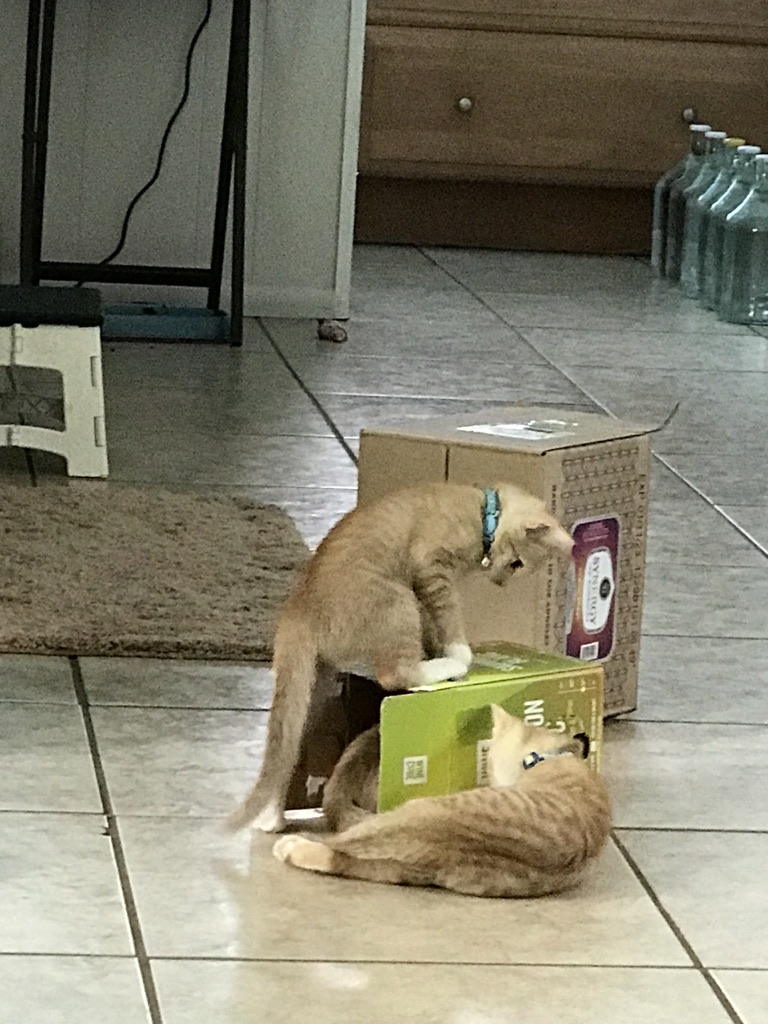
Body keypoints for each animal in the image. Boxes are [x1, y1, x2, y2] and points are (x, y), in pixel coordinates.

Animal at [228, 479, 573, 831]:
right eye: (518, 563)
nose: (502, 583)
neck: (482, 511)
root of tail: (298, 608)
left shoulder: (426, 592)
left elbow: (436, 624)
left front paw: (437, 645)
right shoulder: (431, 569)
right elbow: (449, 615)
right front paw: (458, 650)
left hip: (316, 686)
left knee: (289, 747)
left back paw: (272, 816)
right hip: (399, 601)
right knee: (394, 674)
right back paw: (448, 665)